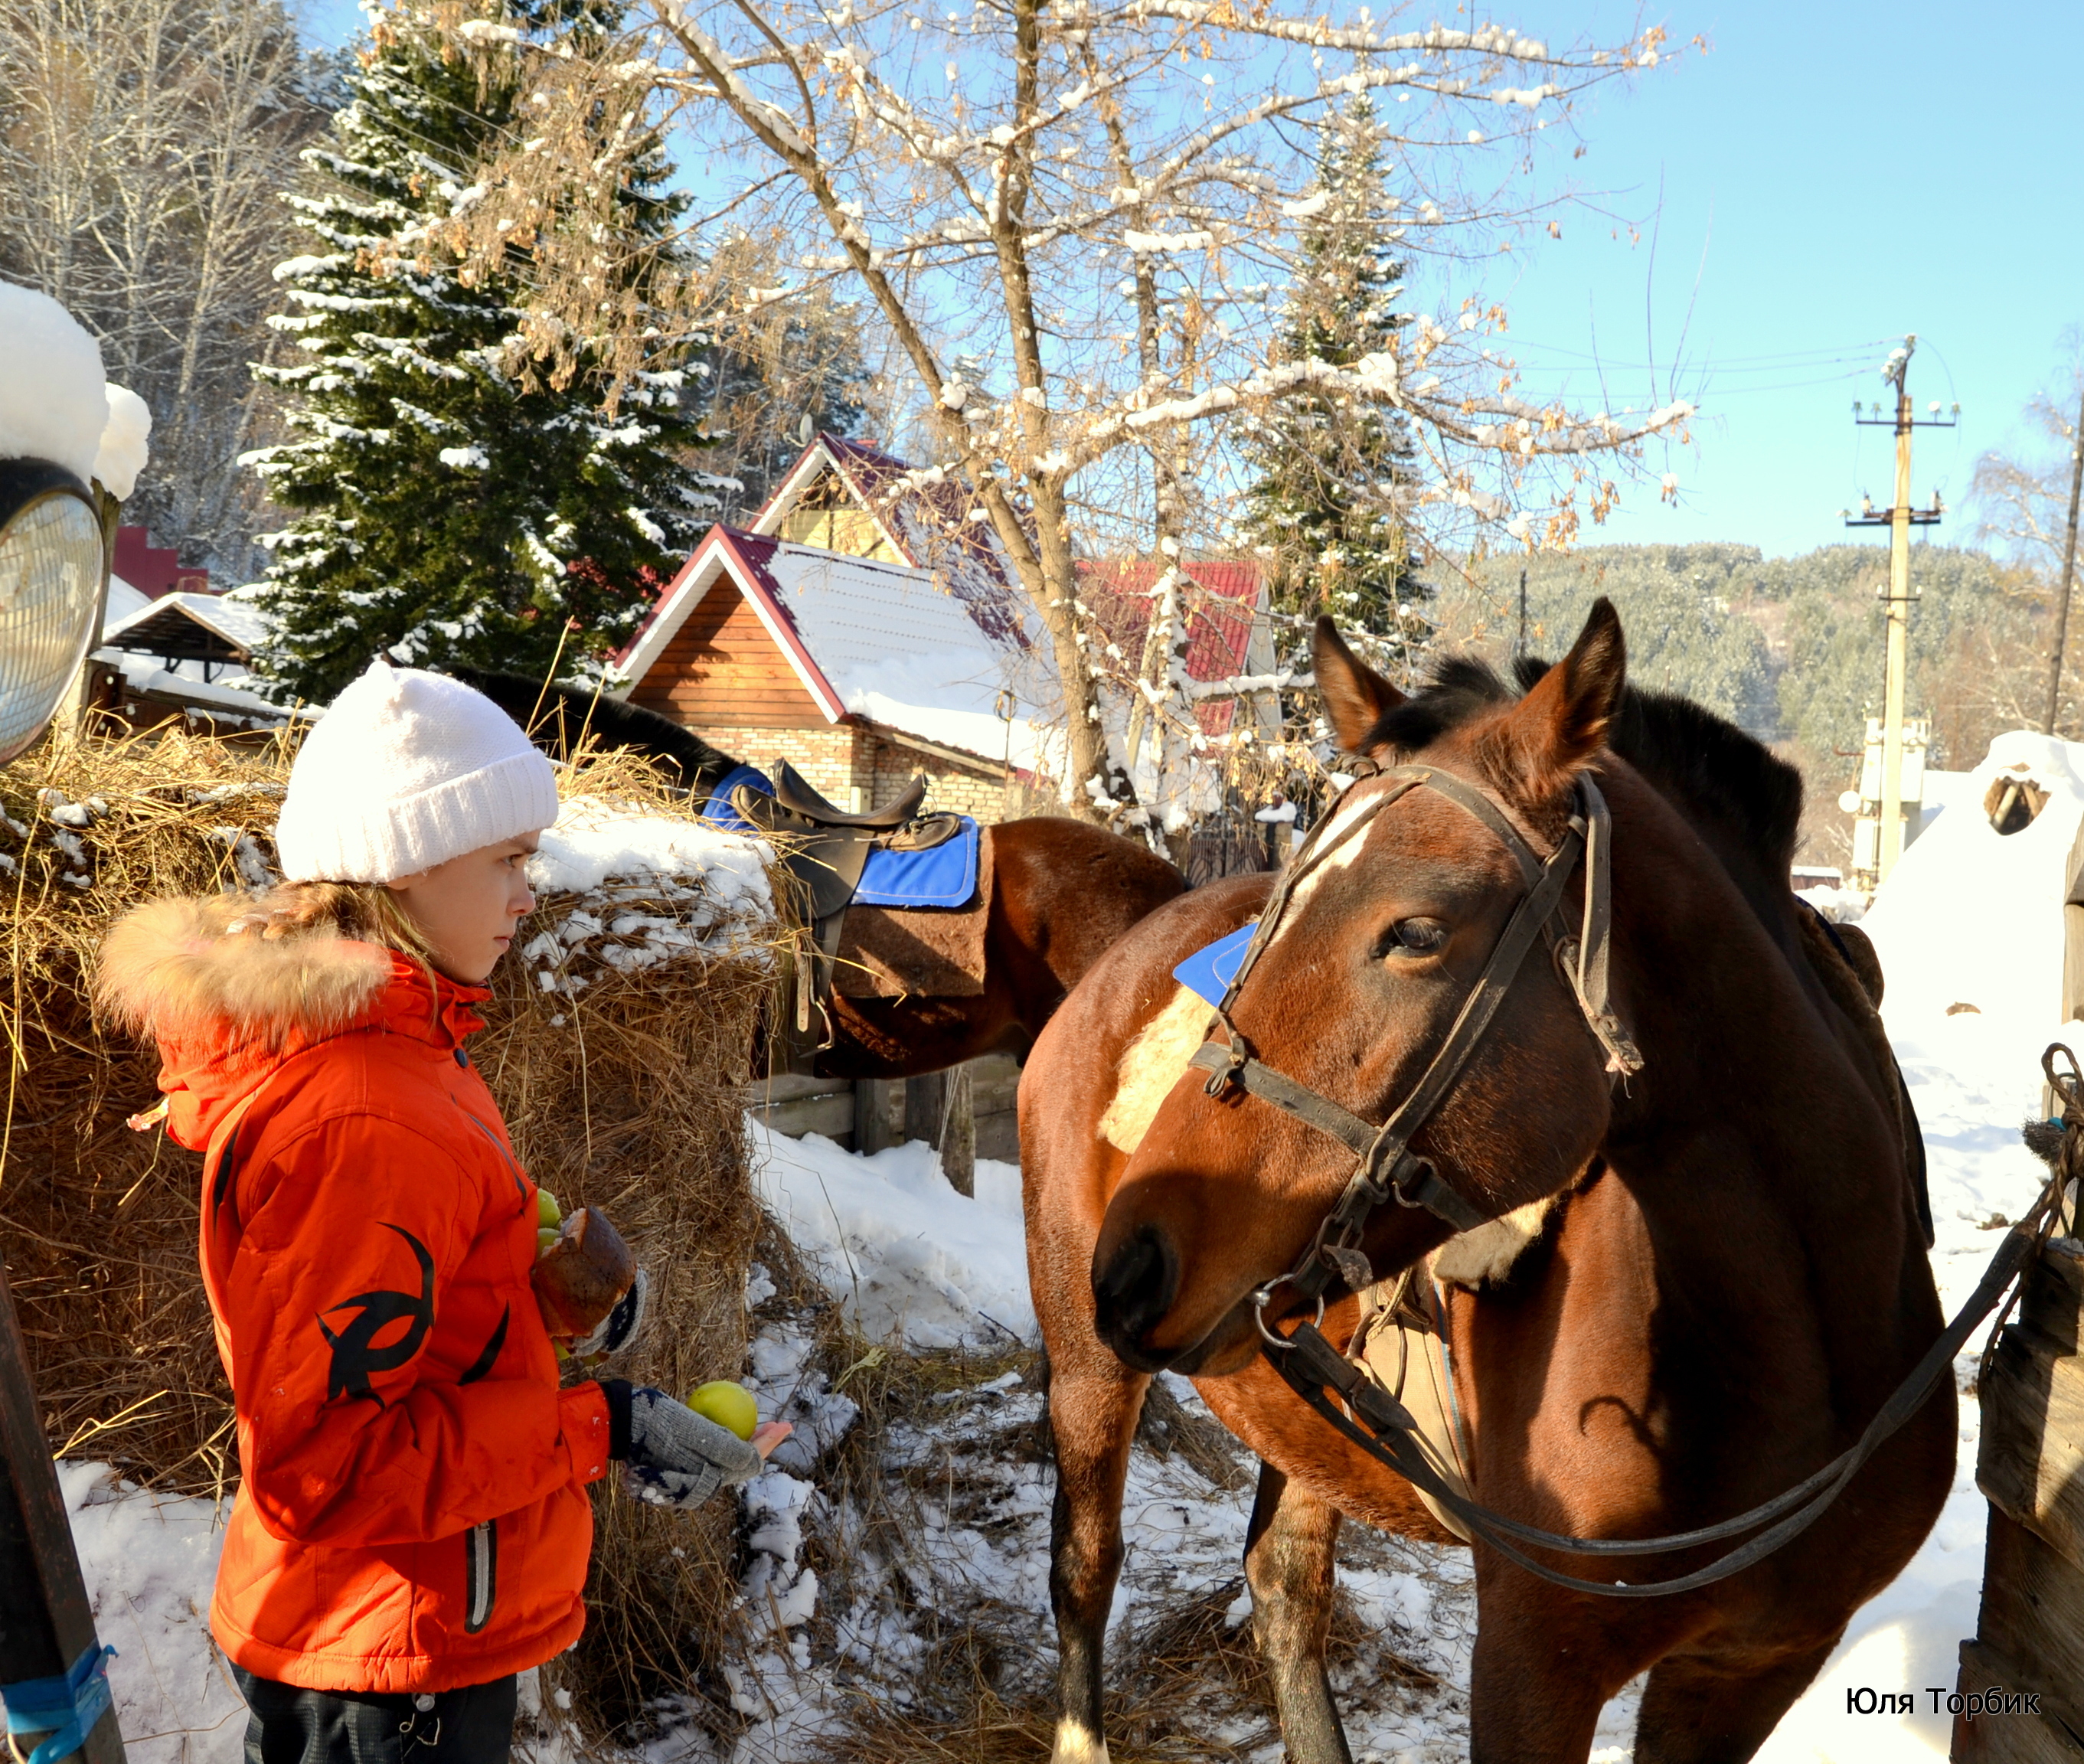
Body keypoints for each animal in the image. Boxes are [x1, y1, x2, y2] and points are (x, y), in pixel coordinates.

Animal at [1025, 600, 1950, 1759]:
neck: (1786, 1357)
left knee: (1282, 1590)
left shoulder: (1753, 1668)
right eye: (1280, 905)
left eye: (1416, 931)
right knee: (1083, 1573)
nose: (1135, 1258)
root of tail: (1118, 955)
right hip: (1085, 1364)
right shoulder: (1530, 1666)